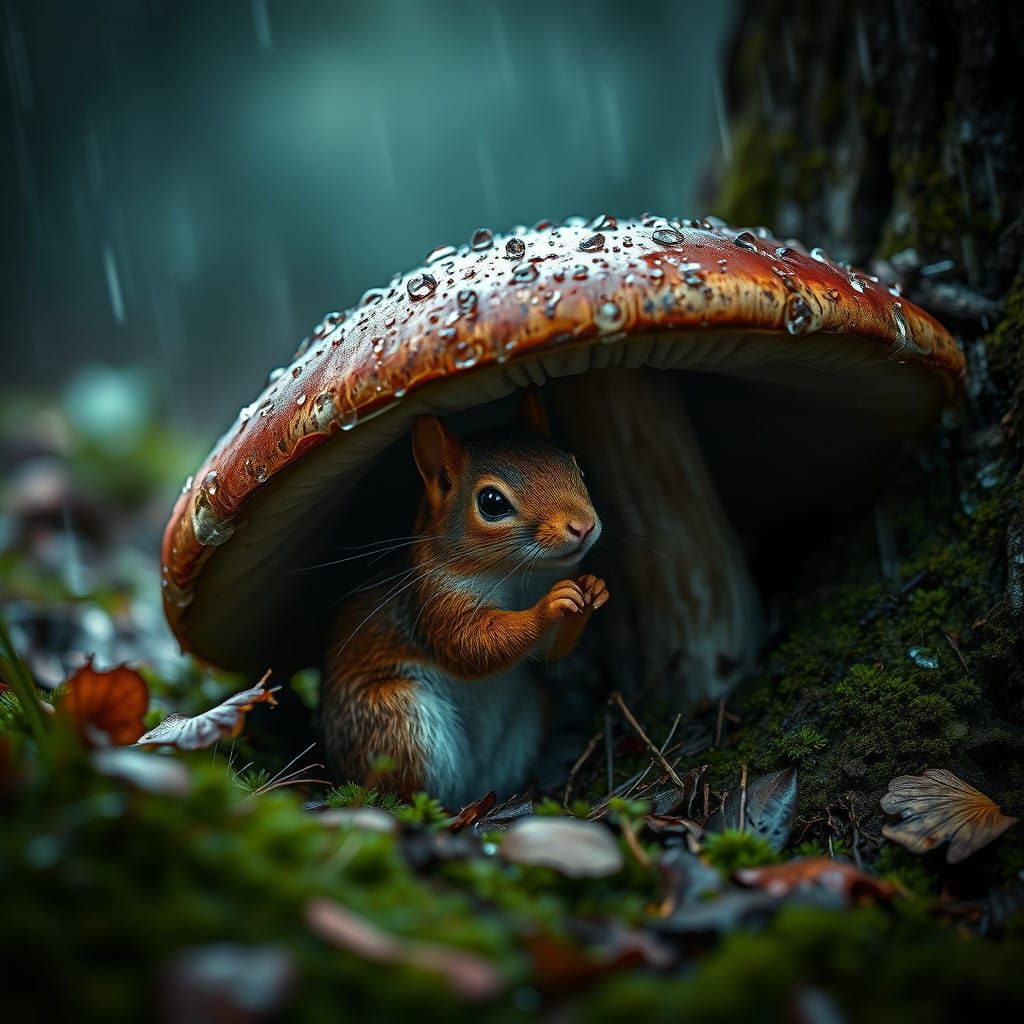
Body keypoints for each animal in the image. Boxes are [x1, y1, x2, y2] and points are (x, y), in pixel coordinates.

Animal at [321, 392, 608, 808]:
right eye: (491, 502)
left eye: (578, 468)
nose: (583, 526)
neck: (517, 573)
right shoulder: (433, 598)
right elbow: (470, 644)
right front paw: (548, 607)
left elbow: (548, 651)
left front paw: (592, 589)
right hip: (397, 721)